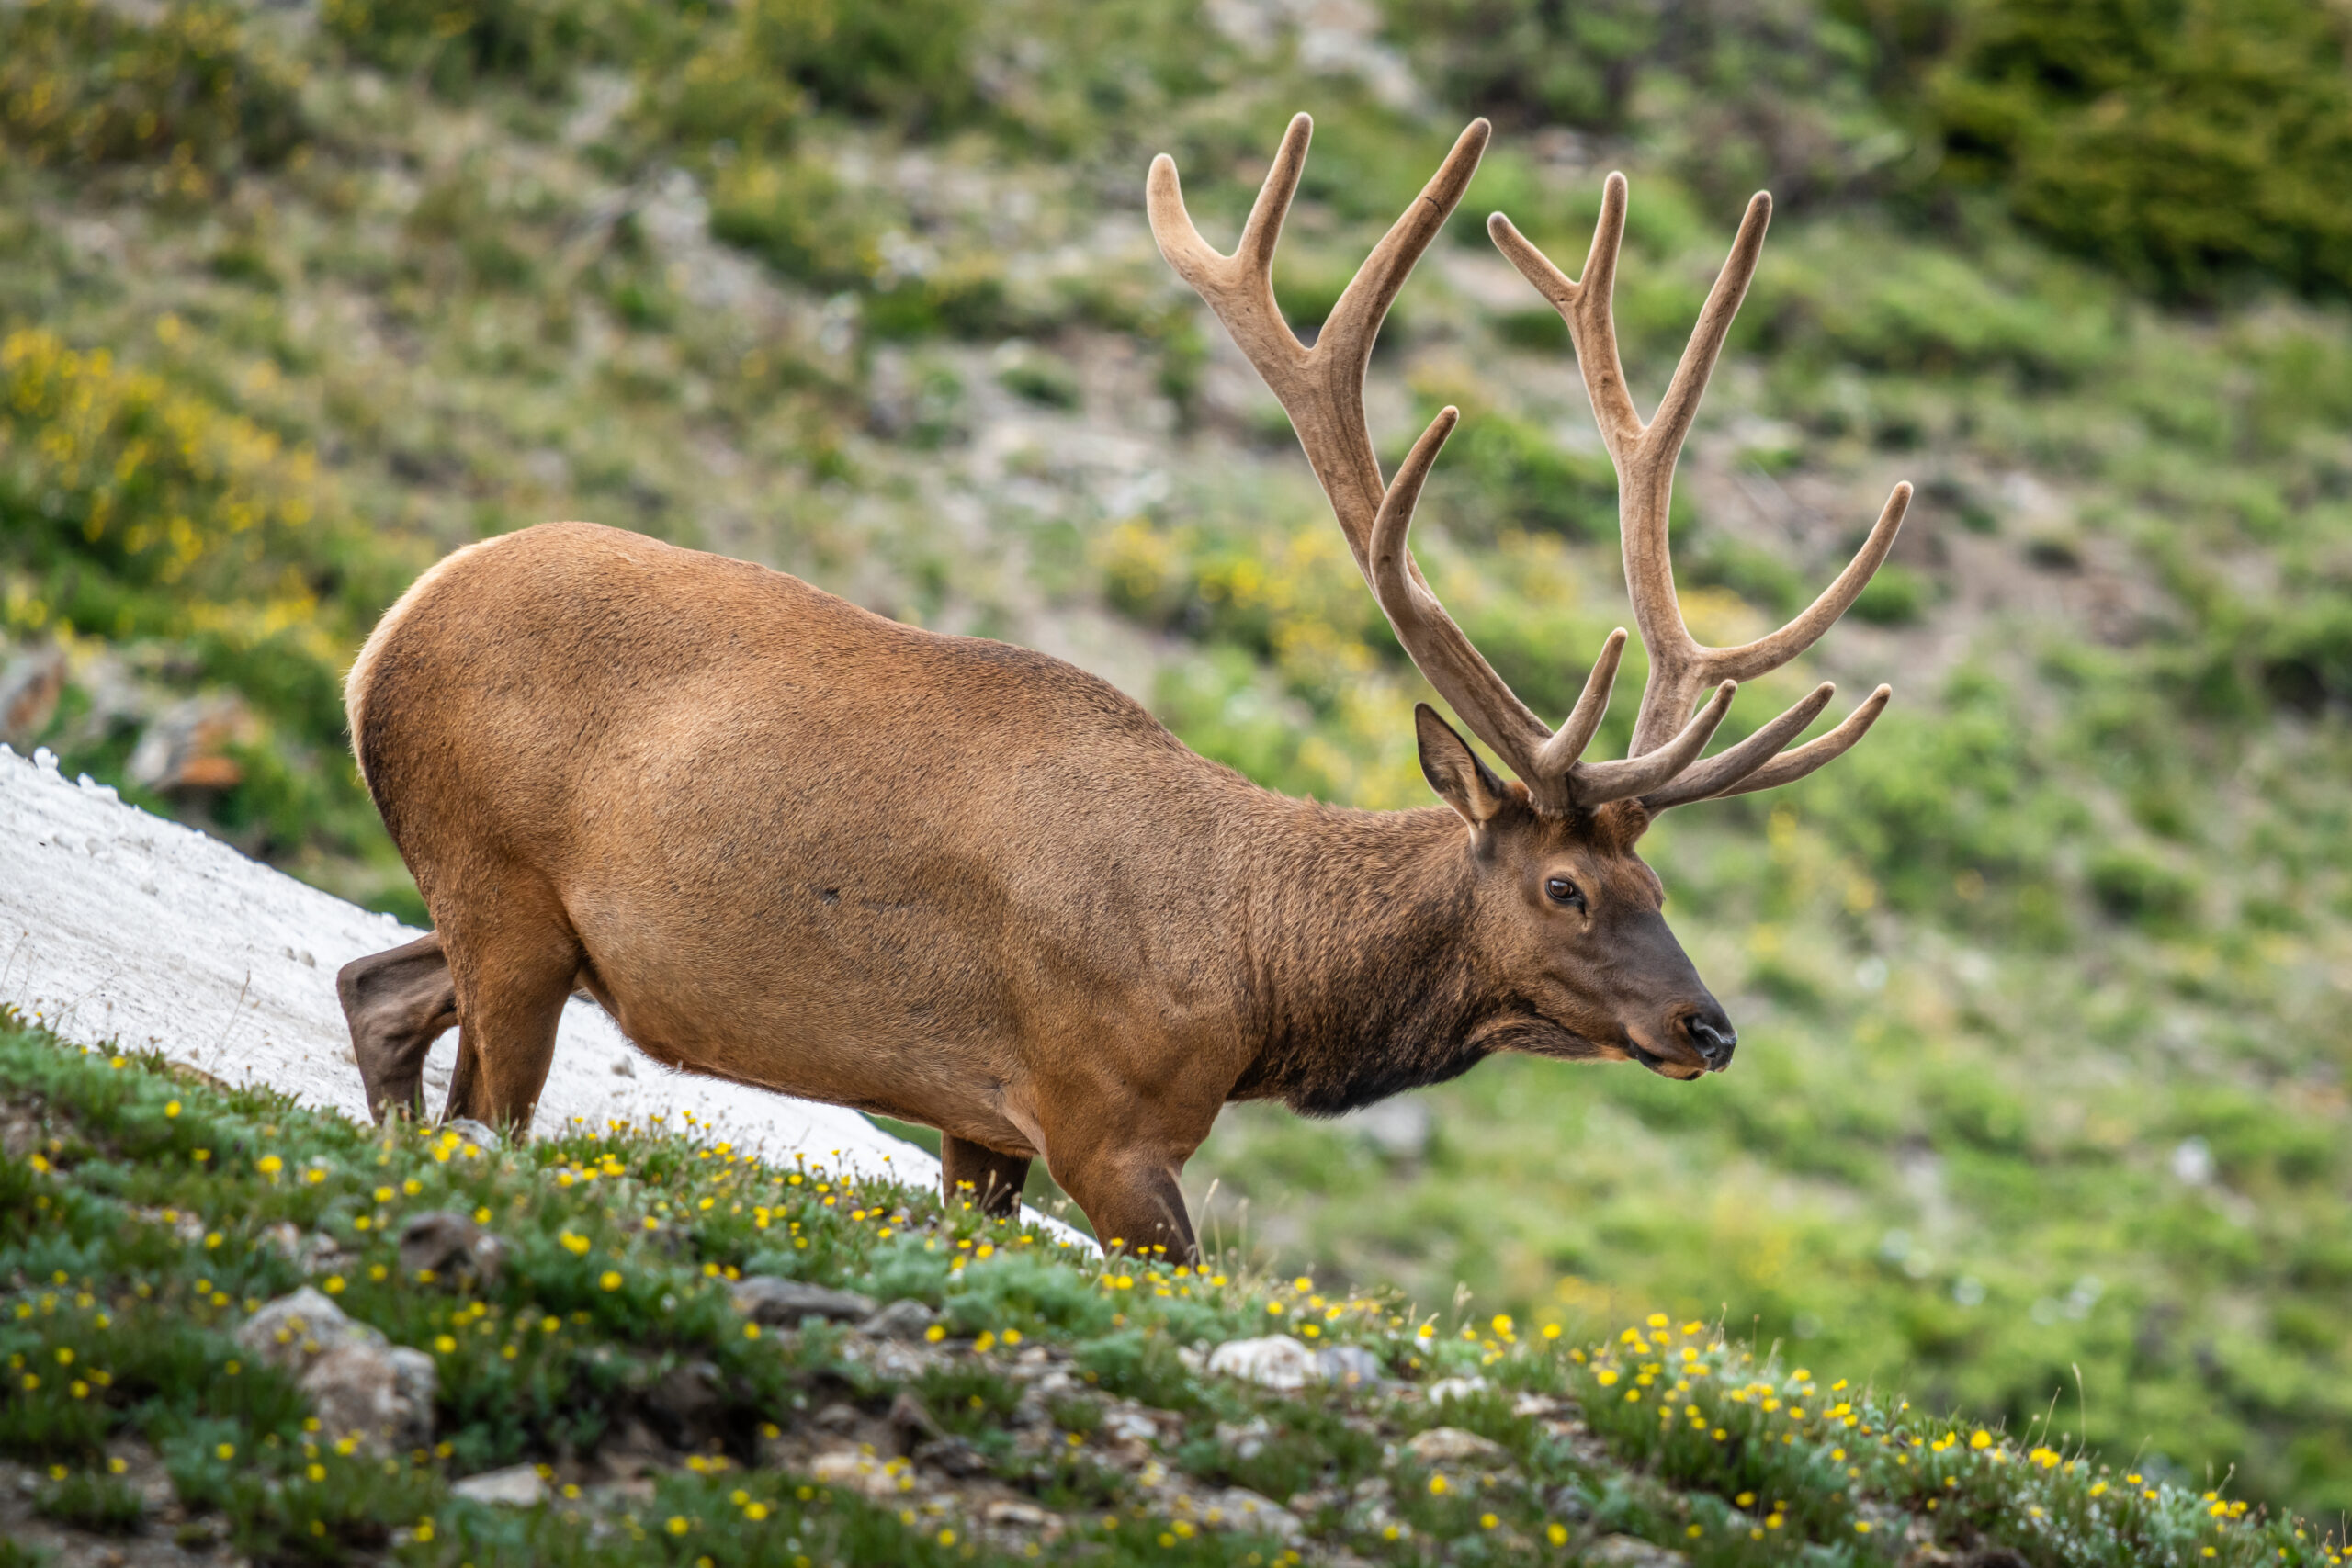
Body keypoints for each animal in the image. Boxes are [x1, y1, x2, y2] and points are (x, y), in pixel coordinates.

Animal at [336, 113, 1909, 1260]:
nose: (1708, 1025)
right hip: (502, 880)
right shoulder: (1102, 1118)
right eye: (1566, 886)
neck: (1254, 981)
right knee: (481, 1099)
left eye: (1660, 887)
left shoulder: (985, 1124)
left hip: (513, 916)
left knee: (375, 989)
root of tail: (379, 638)